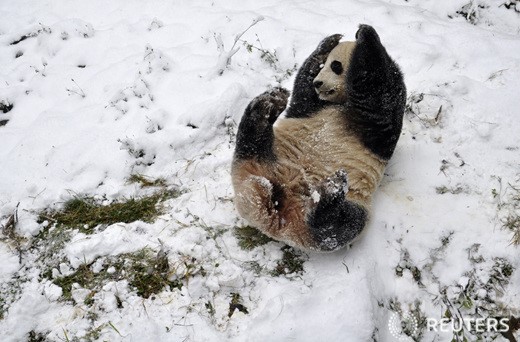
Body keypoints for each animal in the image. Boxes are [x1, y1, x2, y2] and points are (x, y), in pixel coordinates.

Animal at [232, 24, 406, 251]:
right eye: (326, 65)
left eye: (336, 66)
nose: (319, 83)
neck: (339, 103)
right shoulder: (311, 108)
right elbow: (304, 86)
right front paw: (329, 42)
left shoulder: (378, 126)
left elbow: (381, 93)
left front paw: (365, 35)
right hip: (266, 158)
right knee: (251, 142)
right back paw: (266, 106)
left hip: (355, 203)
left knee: (339, 226)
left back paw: (330, 193)